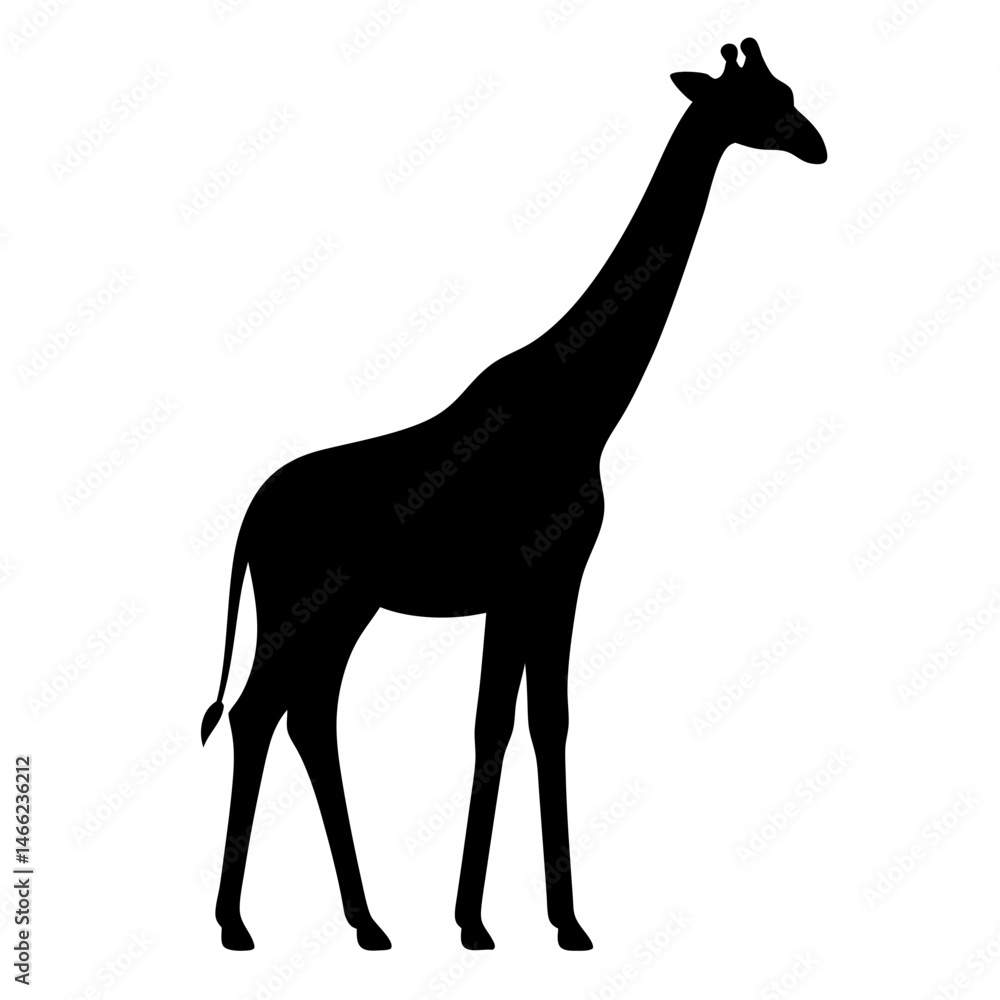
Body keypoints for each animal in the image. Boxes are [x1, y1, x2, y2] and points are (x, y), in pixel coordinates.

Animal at [201, 38, 827, 953]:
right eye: (758, 101)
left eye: (787, 91)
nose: (817, 145)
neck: (586, 405)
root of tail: (248, 518)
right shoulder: (535, 576)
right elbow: (510, 724)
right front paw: (499, 921)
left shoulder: (541, 582)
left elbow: (530, 722)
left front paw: (530, 919)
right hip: (302, 601)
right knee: (256, 713)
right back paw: (236, 924)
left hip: (344, 608)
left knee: (306, 715)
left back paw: (366, 922)